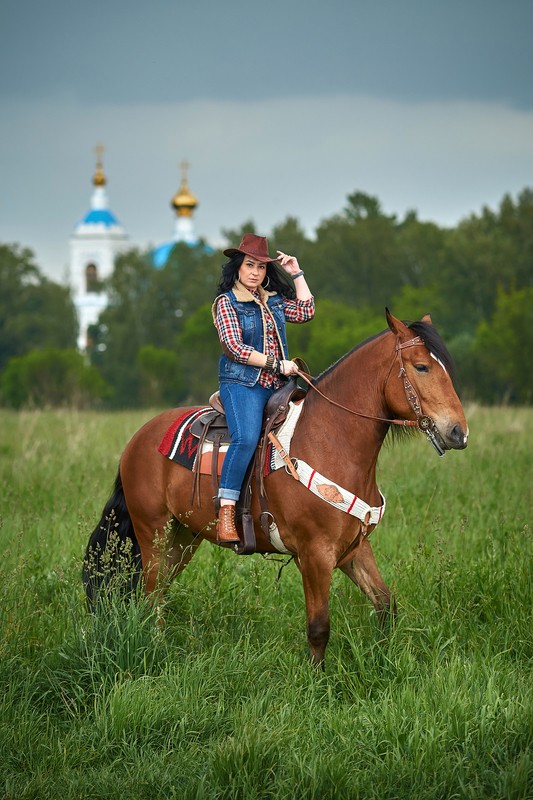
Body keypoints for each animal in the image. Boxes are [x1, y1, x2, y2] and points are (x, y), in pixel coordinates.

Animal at [82, 310, 466, 664]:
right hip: (154, 533)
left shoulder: (353, 548)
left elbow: (386, 604)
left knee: (158, 593)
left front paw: (384, 658)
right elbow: (319, 626)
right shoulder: (314, 554)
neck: (330, 439)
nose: (458, 432)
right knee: (151, 595)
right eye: (421, 367)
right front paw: (317, 682)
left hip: (183, 538)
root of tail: (137, 440)